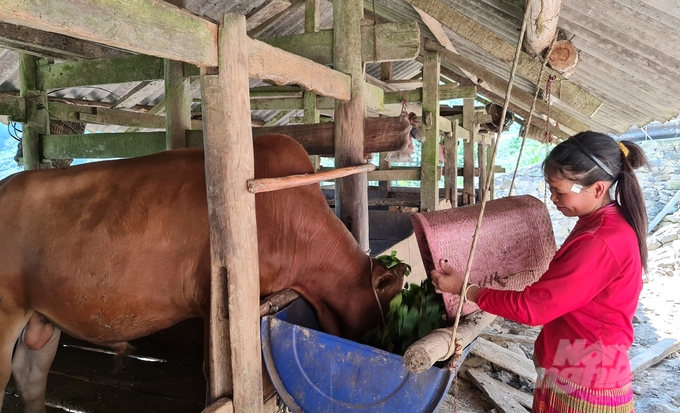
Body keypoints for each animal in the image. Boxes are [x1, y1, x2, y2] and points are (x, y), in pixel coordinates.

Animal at [0, 134, 406, 410]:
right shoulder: (219, 302)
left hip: (42, 316)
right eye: (388, 301)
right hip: (6, 315)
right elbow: (219, 377)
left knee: (30, 376)